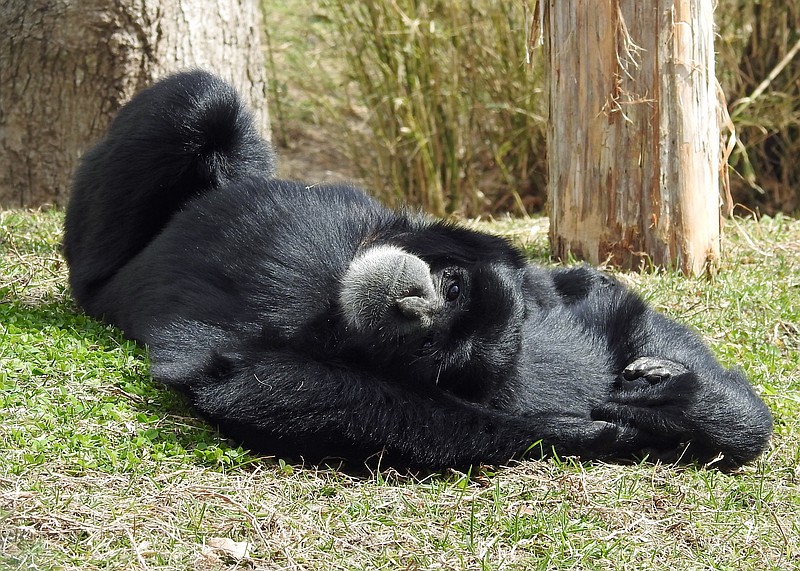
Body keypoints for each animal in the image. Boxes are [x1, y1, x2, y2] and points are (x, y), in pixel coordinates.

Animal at [59, 70, 772, 470]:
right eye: (451, 287)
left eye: (431, 345)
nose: (416, 305)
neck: (331, 307)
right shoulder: (540, 290)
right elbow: (599, 299)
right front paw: (688, 398)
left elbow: (250, 383)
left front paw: (638, 420)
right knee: (202, 99)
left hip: (95, 263)